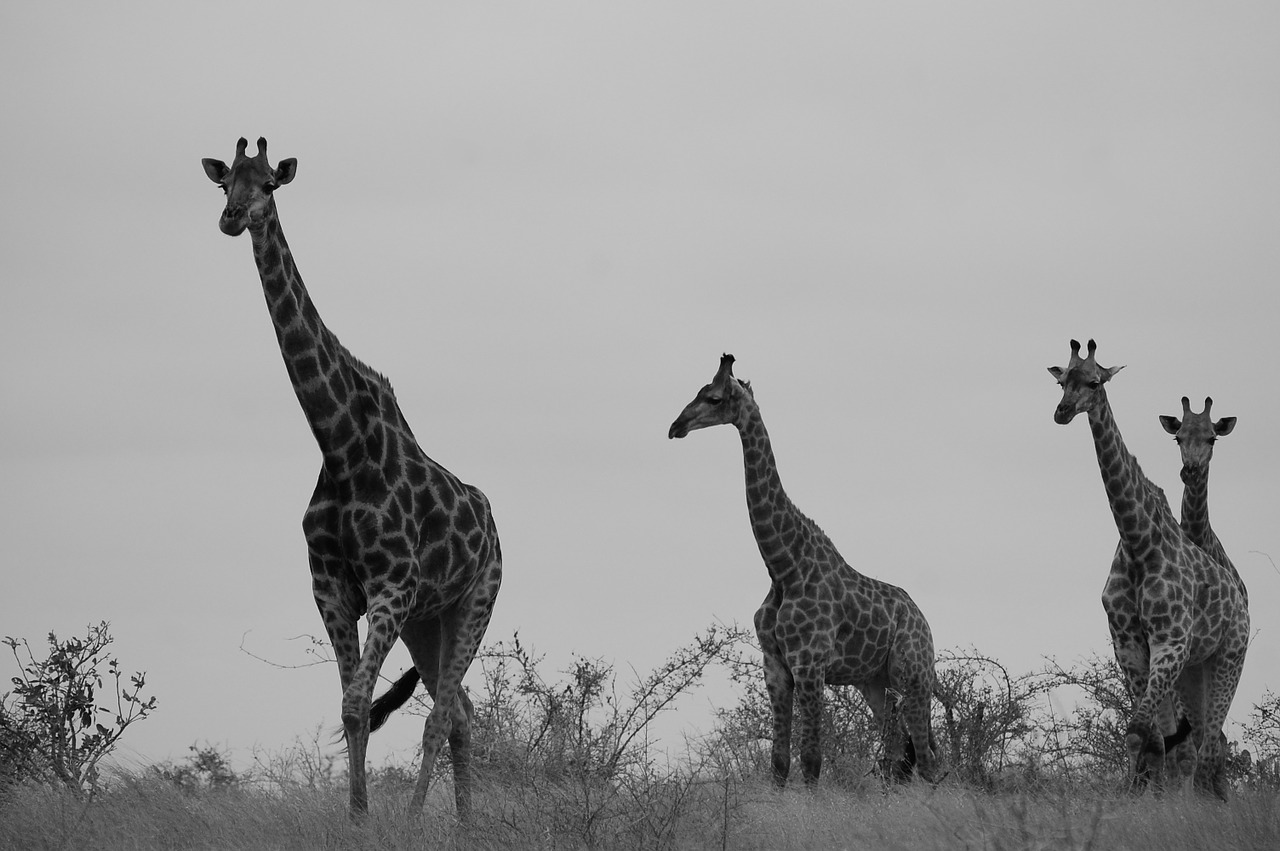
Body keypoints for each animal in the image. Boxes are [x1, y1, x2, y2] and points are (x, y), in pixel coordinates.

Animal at [199, 137, 499, 819]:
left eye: (269, 184)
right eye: (225, 182)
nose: (232, 218)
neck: (340, 446)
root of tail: (494, 527)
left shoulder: (391, 585)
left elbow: (360, 703)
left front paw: (375, 822)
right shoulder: (331, 589)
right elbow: (348, 708)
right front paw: (357, 821)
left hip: (475, 601)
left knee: (441, 715)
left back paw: (420, 822)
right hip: (426, 621)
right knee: (462, 713)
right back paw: (467, 828)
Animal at [665, 350, 936, 783]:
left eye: (714, 398)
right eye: (700, 391)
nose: (676, 426)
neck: (782, 566)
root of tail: (924, 620)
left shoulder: (810, 664)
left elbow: (811, 761)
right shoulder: (775, 666)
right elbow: (780, 762)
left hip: (913, 675)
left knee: (925, 759)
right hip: (874, 682)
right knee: (897, 754)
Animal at [1044, 337, 1244, 798]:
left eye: (1095, 381)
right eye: (1062, 380)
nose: (1062, 411)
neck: (1138, 541)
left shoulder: (1171, 641)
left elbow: (1144, 732)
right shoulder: (1131, 647)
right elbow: (1147, 738)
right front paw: (1141, 797)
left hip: (1229, 656)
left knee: (1211, 745)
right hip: (1193, 671)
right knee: (1194, 744)